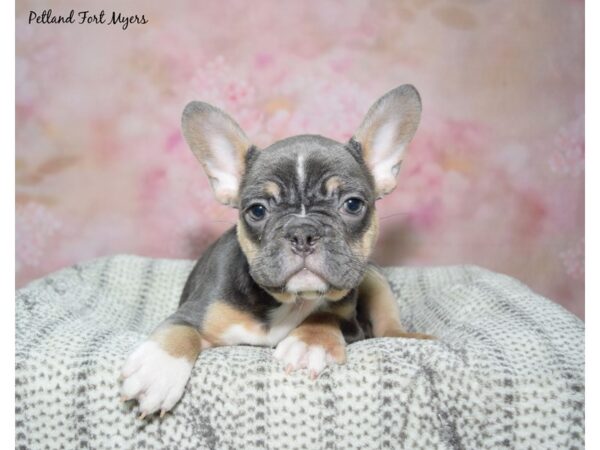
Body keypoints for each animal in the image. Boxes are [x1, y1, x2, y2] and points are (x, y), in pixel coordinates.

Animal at [119, 85, 434, 418]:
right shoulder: (195, 311)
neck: (290, 302)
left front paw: (310, 343)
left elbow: (327, 316)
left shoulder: (352, 324)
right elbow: (180, 329)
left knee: (388, 325)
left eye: (352, 204)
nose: (303, 232)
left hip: (374, 278)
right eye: (257, 210)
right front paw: (157, 370)